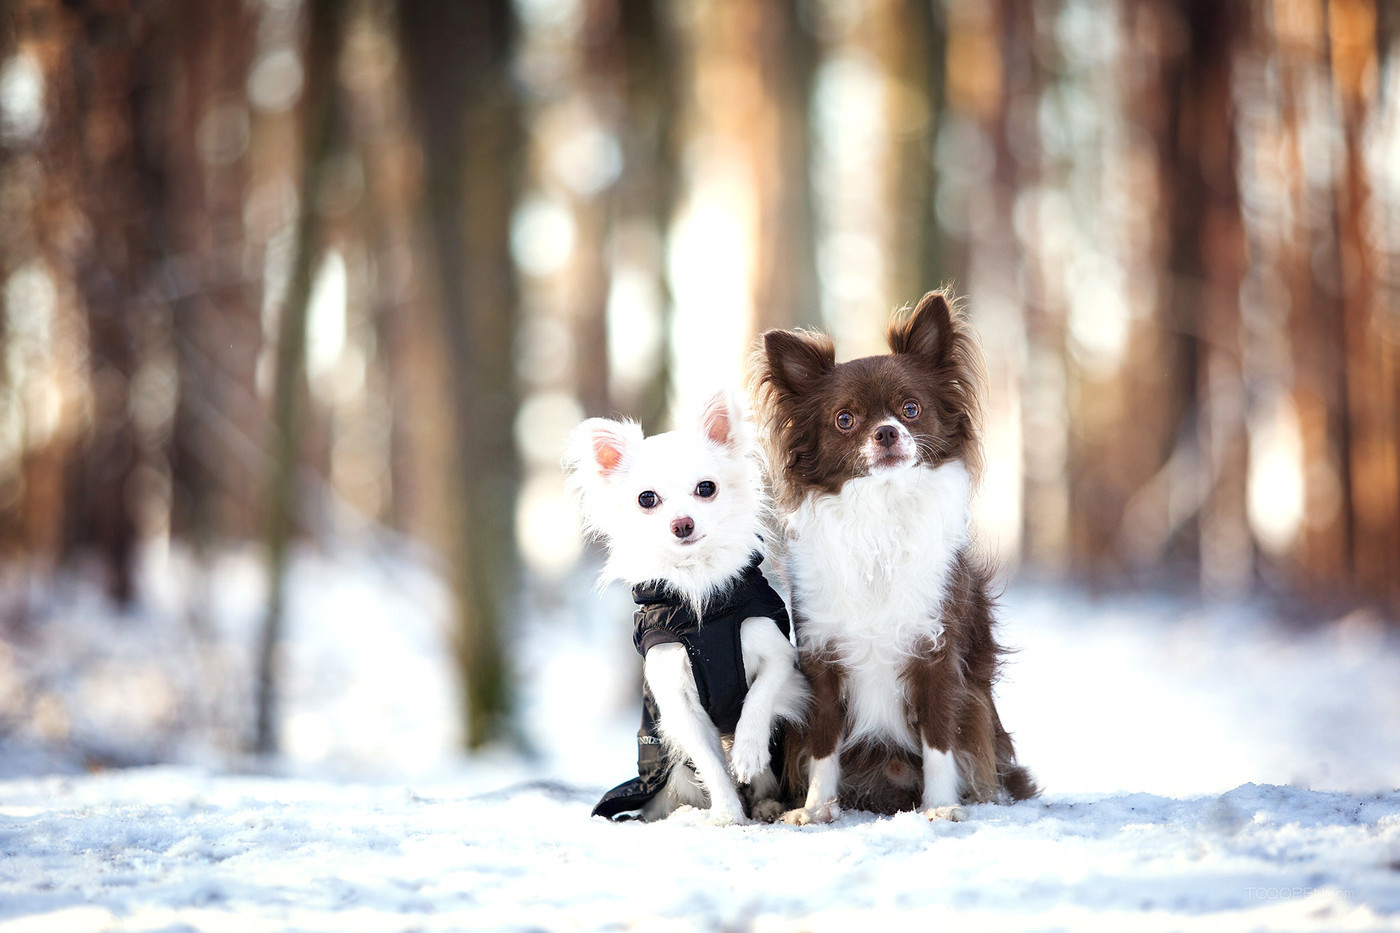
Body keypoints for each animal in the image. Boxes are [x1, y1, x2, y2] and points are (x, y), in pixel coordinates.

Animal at [756, 291, 1041, 823]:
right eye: (845, 420)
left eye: (911, 409)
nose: (886, 432)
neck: (881, 513)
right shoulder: (823, 658)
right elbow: (823, 742)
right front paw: (816, 808)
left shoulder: (937, 654)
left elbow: (939, 740)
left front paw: (941, 806)